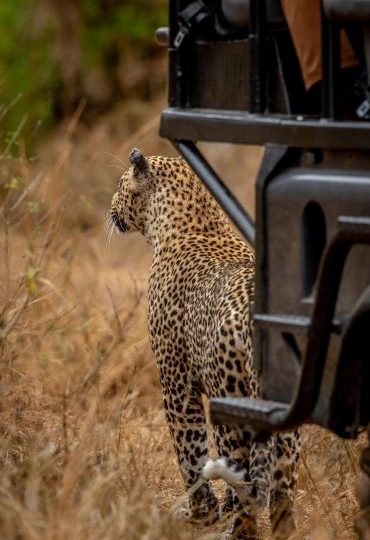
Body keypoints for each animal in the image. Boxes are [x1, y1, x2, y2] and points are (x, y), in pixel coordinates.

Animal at [110, 149, 300, 540]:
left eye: (121, 185)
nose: (110, 207)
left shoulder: (176, 384)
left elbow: (191, 453)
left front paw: (201, 513)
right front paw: (216, 510)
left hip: (234, 404)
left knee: (245, 480)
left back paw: (234, 531)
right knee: (280, 490)